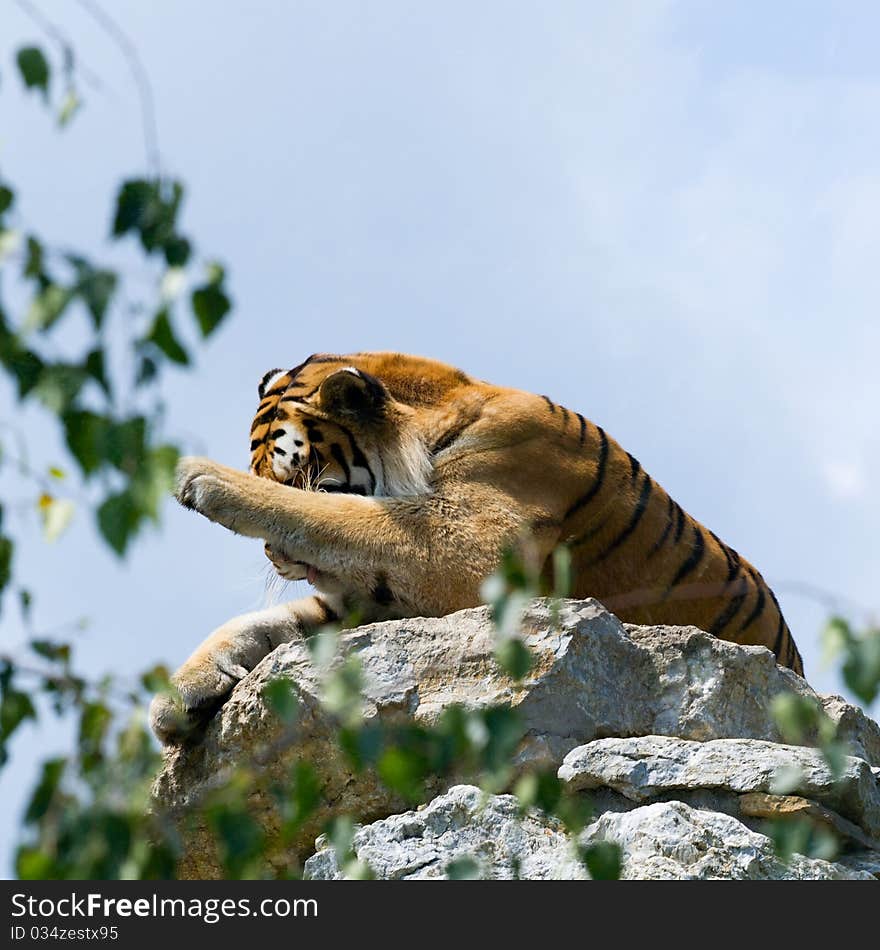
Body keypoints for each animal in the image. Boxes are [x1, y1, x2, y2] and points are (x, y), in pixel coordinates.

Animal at [148, 350, 800, 744]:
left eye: (296, 476)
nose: (274, 558)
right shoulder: (378, 598)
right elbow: (260, 622)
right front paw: (179, 695)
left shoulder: (462, 547)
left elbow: (332, 515)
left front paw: (198, 477)